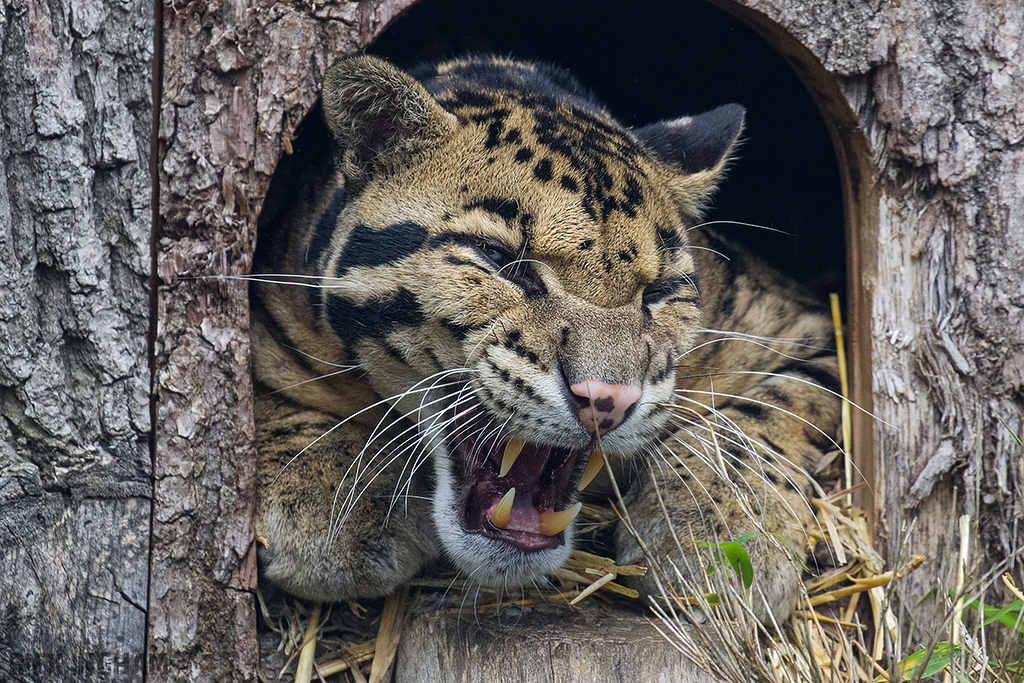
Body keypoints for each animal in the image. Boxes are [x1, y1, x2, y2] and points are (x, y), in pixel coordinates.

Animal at [251, 54, 841, 624]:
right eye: (500, 259)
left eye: (659, 291)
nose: (609, 400)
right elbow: (265, 393)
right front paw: (329, 492)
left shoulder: (807, 321)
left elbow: (772, 413)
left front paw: (719, 530)